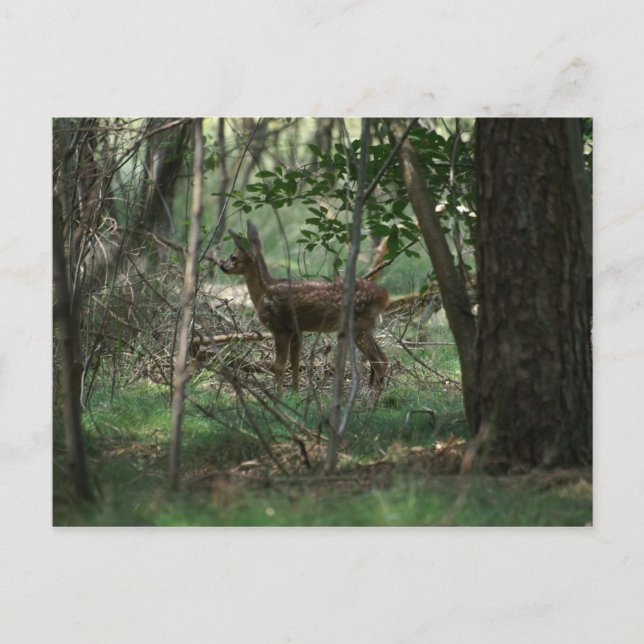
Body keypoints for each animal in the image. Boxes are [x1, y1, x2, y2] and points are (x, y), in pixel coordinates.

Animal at [219, 220, 389, 396]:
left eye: (233, 256)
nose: (222, 265)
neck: (264, 292)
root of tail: (385, 295)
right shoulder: (296, 330)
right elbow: (295, 362)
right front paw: (294, 393)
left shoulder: (280, 327)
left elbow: (278, 366)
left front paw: (278, 397)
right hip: (364, 326)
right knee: (382, 359)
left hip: (358, 323)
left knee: (379, 362)